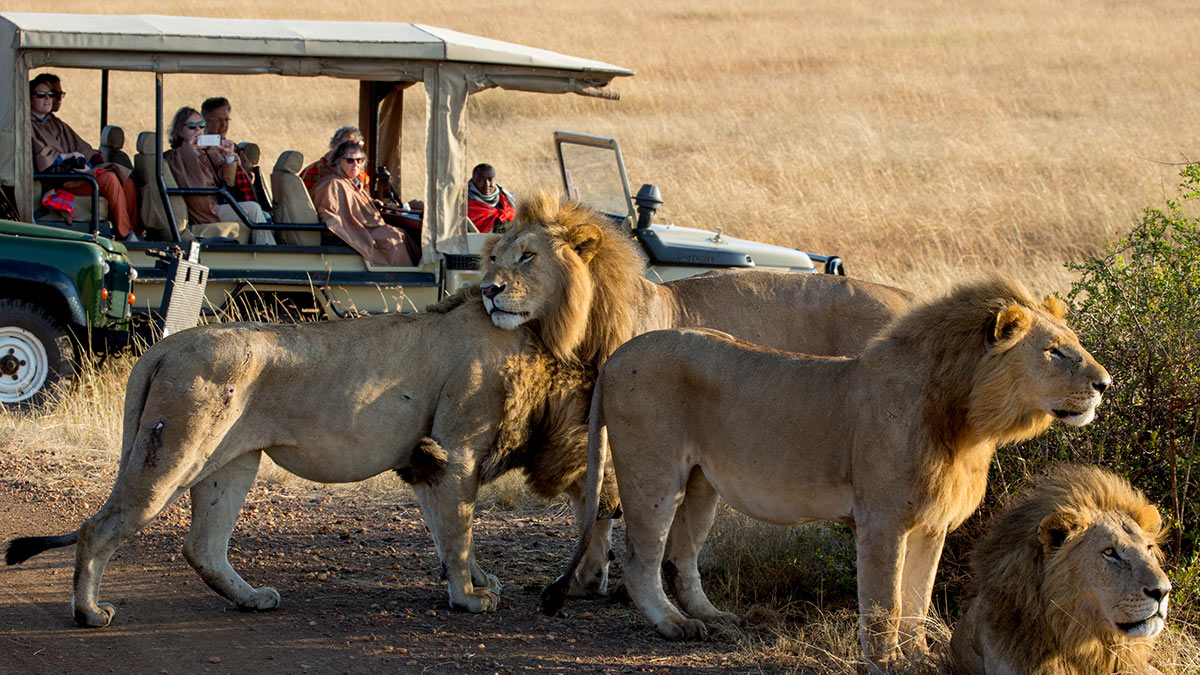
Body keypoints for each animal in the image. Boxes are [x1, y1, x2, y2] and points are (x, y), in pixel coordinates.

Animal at [7, 192, 907, 624]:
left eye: (526, 256)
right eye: (496, 255)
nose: (495, 289)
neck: (547, 337)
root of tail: (164, 344)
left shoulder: (437, 454)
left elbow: (456, 532)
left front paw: (477, 588)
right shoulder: (456, 448)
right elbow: (463, 528)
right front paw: (473, 596)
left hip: (232, 461)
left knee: (201, 545)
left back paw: (251, 597)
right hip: (174, 448)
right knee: (97, 527)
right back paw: (89, 612)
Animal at [552, 276, 1113, 662]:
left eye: (1074, 343)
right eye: (1056, 351)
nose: (1105, 383)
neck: (969, 425)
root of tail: (616, 355)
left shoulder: (931, 525)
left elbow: (918, 599)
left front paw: (918, 655)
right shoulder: (882, 520)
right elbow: (886, 603)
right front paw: (886, 662)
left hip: (700, 483)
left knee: (681, 557)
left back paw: (713, 617)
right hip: (654, 472)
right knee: (641, 560)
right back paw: (673, 624)